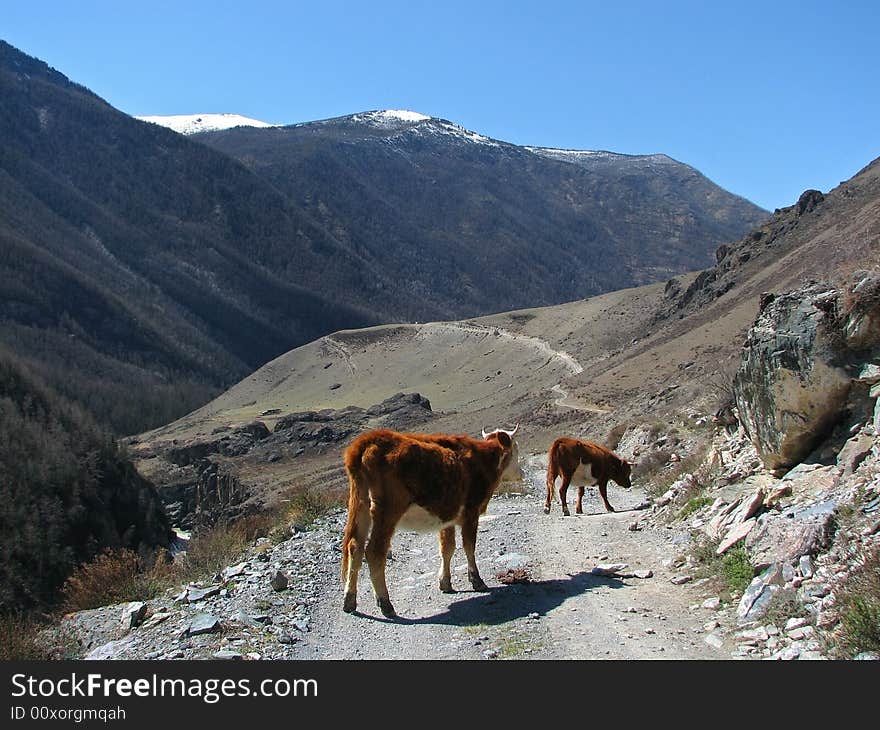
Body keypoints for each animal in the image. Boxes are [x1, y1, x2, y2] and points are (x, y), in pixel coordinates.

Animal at [342, 424, 524, 616]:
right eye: (516, 448)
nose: (522, 472)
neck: (483, 460)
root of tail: (370, 439)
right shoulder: (471, 512)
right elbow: (469, 546)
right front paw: (476, 580)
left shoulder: (448, 518)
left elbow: (447, 548)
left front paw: (445, 583)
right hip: (387, 511)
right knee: (374, 552)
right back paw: (385, 603)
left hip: (360, 504)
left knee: (354, 547)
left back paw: (349, 600)